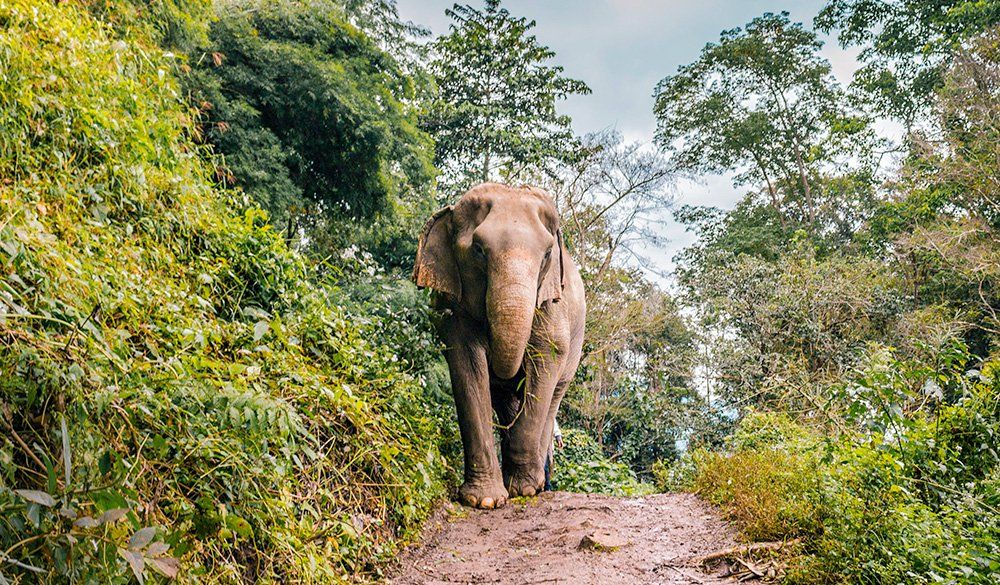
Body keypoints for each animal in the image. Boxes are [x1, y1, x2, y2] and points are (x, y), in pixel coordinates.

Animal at [413, 182, 586, 509]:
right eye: (479, 250)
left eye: (547, 254)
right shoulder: (454, 309)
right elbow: (467, 365)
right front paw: (484, 500)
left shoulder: (551, 305)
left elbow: (546, 360)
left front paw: (525, 490)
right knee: (506, 402)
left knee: (553, 396)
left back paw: (538, 483)